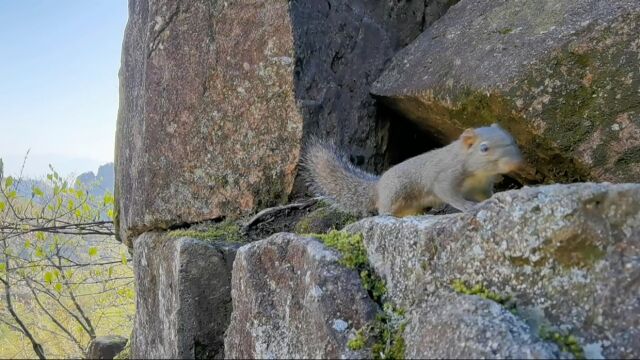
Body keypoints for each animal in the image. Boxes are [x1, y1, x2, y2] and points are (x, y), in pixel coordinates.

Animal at [302, 123, 524, 217]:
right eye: (484, 148)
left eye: (513, 138)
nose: (515, 164)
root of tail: (378, 187)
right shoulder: (445, 176)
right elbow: (448, 192)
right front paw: (467, 206)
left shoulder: (482, 186)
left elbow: (486, 195)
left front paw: (496, 198)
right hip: (395, 192)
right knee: (383, 207)